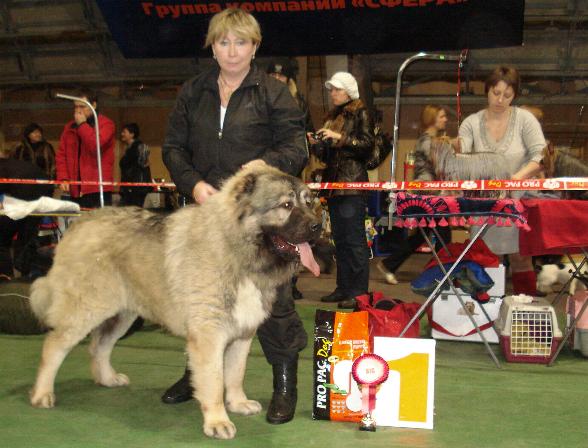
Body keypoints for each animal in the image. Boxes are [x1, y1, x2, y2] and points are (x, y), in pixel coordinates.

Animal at [27, 166, 322, 440]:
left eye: (308, 202)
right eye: (286, 205)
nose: (318, 226)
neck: (237, 249)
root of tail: (80, 222)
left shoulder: (242, 334)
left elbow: (235, 374)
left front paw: (237, 403)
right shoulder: (209, 337)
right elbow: (214, 380)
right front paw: (217, 421)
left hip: (123, 315)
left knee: (99, 346)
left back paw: (108, 379)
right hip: (87, 309)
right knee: (53, 346)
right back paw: (42, 394)